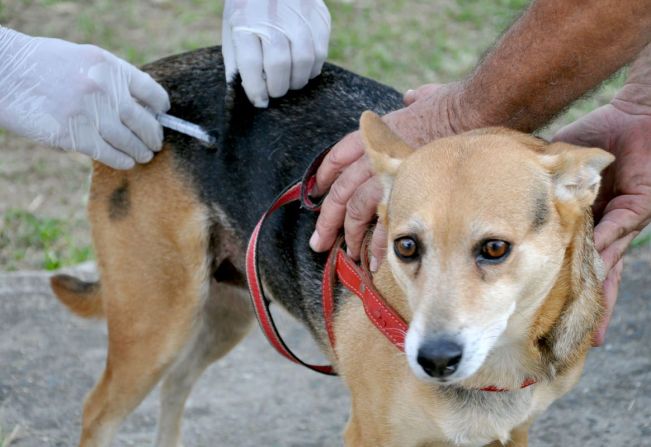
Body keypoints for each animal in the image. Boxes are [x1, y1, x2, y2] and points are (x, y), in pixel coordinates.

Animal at [49, 46, 612, 447]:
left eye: (495, 249)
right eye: (405, 246)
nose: (433, 360)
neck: (501, 362)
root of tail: (155, 81)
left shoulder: (512, 433)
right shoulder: (371, 435)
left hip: (227, 309)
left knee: (177, 386)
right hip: (159, 320)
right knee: (97, 412)